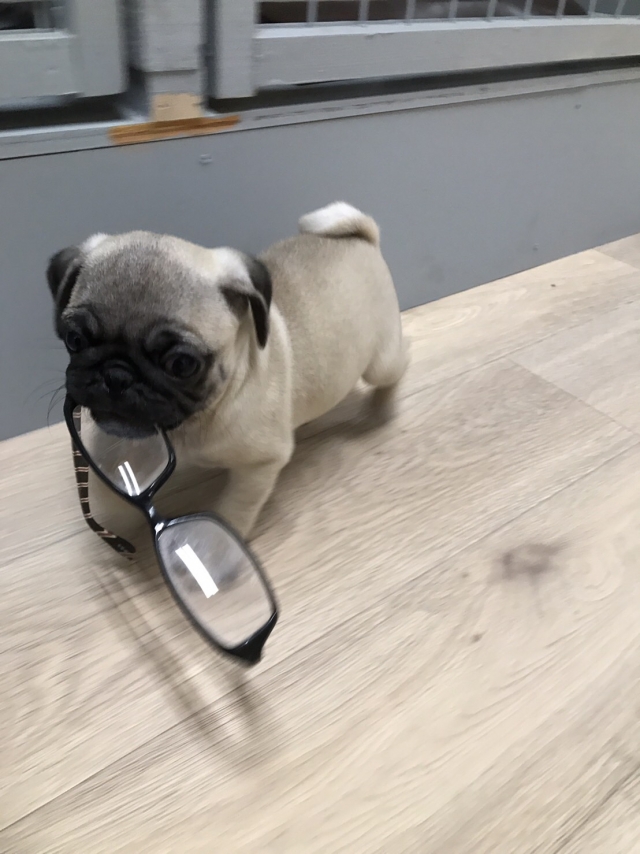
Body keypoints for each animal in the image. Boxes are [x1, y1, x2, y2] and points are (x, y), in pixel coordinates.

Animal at [47, 202, 409, 538]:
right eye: (74, 339)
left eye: (182, 364)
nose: (117, 374)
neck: (196, 420)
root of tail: (362, 237)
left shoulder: (260, 466)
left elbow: (234, 511)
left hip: (380, 362)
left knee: (398, 366)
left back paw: (382, 408)